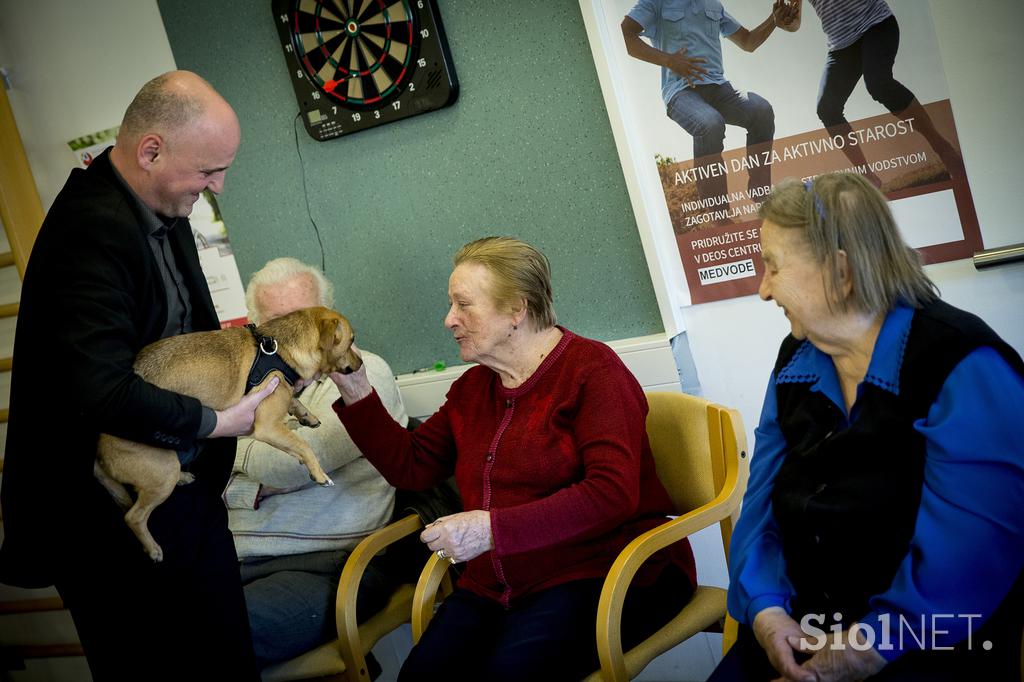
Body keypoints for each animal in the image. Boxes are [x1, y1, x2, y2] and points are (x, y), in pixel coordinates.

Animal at [93, 305, 364, 561]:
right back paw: (152, 548)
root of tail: (99, 453)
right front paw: (318, 473)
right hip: (162, 474)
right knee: (134, 517)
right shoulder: (267, 427)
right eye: (351, 341)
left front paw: (307, 416)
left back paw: (183, 478)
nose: (361, 364)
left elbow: (294, 405)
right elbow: (303, 445)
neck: (280, 351)